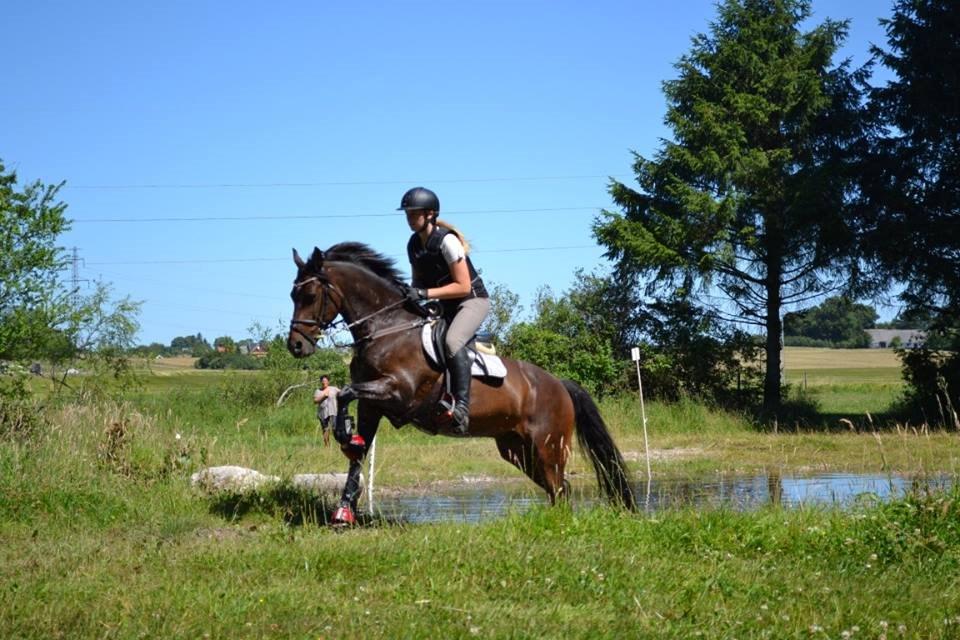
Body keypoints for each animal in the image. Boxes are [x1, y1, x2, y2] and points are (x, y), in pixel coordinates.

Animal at [287, 242, 635, 524]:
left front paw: (343, 432)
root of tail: (560, 385)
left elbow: (344, 393)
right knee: (558, 488)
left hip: (547, 448)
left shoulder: (397, 392)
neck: (386, 328)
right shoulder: (373, 404)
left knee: (560, 487)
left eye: (310, 295)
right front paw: (344, 509)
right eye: (293, 295)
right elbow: (356, 449)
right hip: (517, 450)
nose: (296, 346)